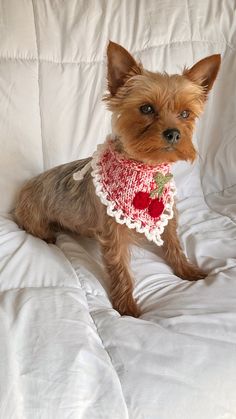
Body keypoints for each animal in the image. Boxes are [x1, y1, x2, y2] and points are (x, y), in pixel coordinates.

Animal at [15, 42, 221, 318]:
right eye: (146, 109)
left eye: (185, 113)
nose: (174, 134)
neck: (146, 170)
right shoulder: (114, 233)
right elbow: (120, 268)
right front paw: (127, 308)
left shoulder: (168, 216)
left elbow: (174, 243)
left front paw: (186, 269)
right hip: (34, 216)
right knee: (35, 227)